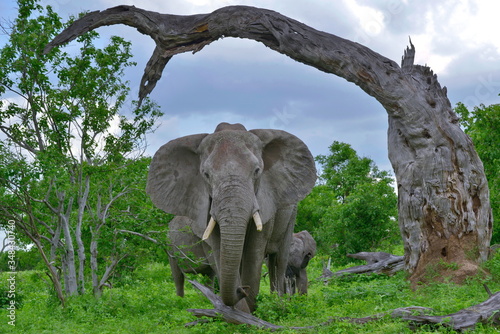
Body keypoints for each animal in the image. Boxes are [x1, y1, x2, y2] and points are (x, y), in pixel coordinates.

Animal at [146, 122, 316, 314]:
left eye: (257, 171)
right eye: (206, 174)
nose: (242, 289)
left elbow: (254, 252)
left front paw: (248, 311)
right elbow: (219, 251)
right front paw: (238, 310)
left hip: (291, 213)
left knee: (279, 260)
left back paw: (279, 303)